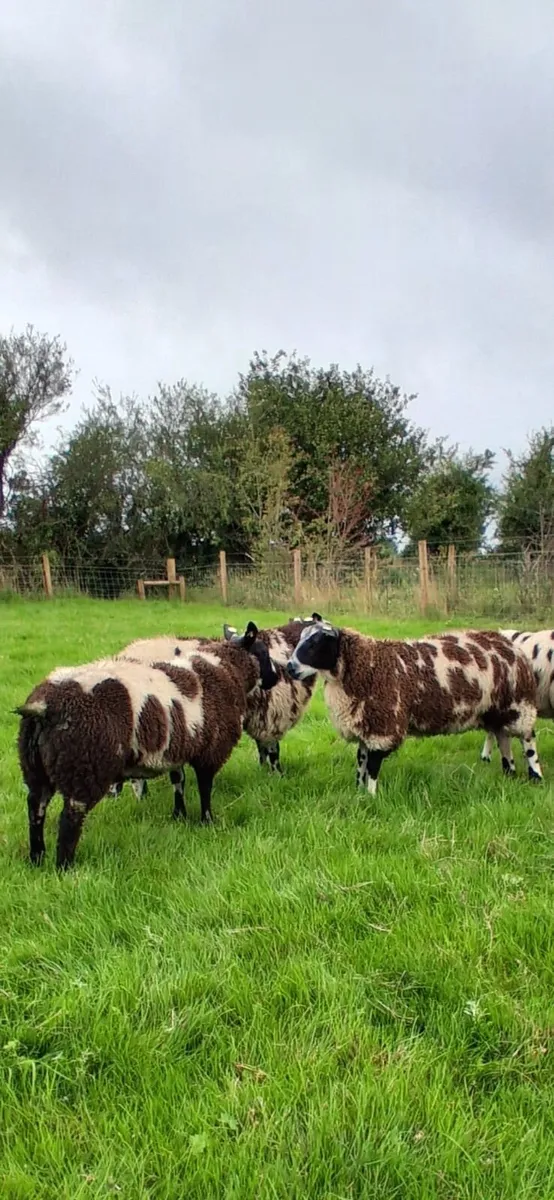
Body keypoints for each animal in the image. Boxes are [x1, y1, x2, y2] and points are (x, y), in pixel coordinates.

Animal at [16, 622, 278, 869]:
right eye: (262, 652)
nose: (275, 679)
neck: (227, 669)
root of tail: (44, 707)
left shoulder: (176, 749)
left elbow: (178, 781)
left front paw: (179, 815)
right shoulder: (211, 750)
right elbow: (205, 788)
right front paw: (207, 821)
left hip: (35, 769)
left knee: (35, 809)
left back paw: (37, 858)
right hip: (84, 766)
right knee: (70, 819)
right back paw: (65, 866)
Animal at [286, 622, 543, 793]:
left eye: (315, 643)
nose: (289, 668)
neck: (367, 665)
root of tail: (507, 642)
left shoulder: (383, 727)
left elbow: (372, 767)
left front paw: (371, 797)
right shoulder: (366, 726)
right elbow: (361, 762)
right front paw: (358, 793)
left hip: (519, 704)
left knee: (528, 739)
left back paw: (535, 776)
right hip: (498, 710)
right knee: (503, 738)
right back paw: (509, 773)